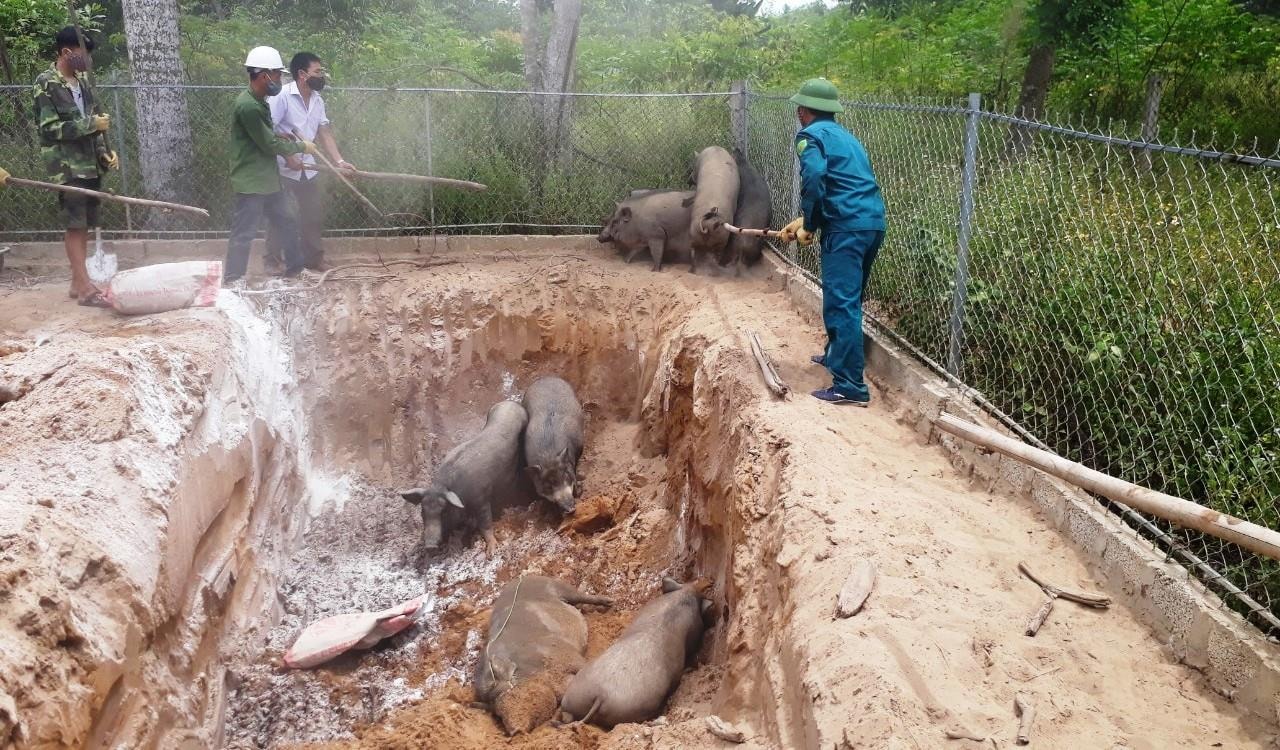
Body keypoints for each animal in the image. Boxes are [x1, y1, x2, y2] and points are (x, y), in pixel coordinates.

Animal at [394, 399, 524, 552]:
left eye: (444, 512)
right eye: (422, 511)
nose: (430, 545)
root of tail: (510, 402)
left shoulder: (482, 499)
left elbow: (485, 524)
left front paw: (492, 550)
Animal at [473, 575, 611, 732]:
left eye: (513, 695)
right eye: (498, 713)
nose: (515, 731)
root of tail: (520, 578)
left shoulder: (566, 655)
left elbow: (582, 665)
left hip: (557, 586)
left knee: (579, 595)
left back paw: (610, 601)